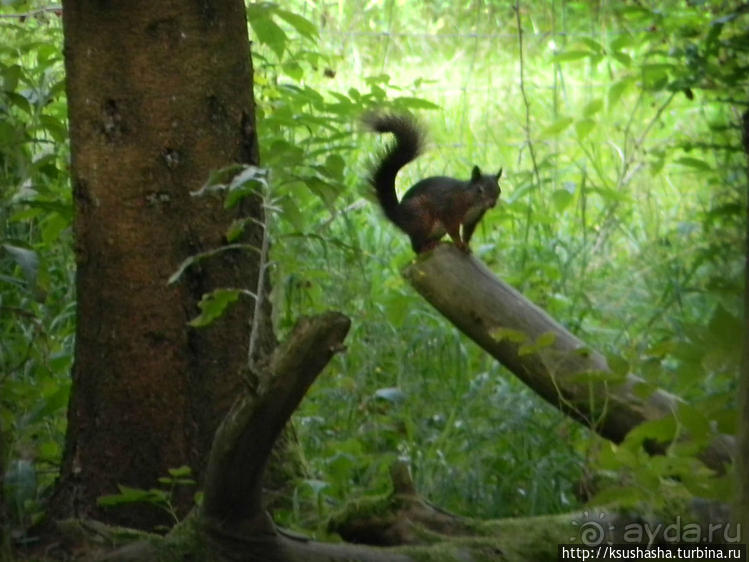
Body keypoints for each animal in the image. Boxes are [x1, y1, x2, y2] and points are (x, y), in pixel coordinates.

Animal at [364, 112, 502, 253]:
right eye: (479, 190)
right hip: (422, 218)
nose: (492, 204)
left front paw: (466, 246)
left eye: (498, 190)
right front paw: (458, 243)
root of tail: (397, 215)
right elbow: (453, 230)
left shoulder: (472, 220)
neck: (472, 202)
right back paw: (426, 247)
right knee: (416, 246)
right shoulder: (449, 211)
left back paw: (434, 242)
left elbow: (467, 234)